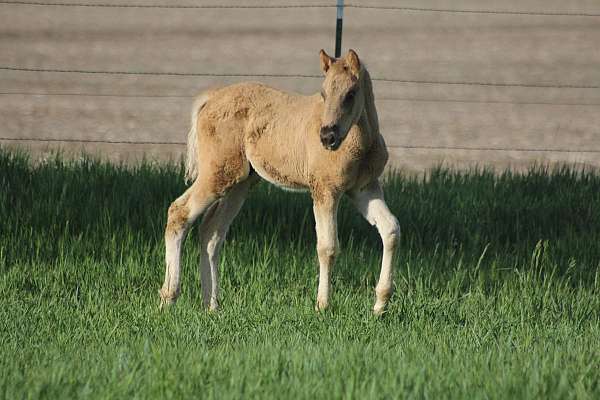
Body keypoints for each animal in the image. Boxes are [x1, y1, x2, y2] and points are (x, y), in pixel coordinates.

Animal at [159, 48, 400, 314]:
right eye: (324, 93)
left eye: (351, 94)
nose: (327, 137)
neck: (361, 143)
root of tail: (211, 98)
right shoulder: (325, 190)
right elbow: (327, 246)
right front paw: (323, 306)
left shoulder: (363, 188)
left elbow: (391, 229)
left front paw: (380, 305)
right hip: (217, 174)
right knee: (179, 211)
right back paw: (169, 298)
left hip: (240, 183)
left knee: (211, 231)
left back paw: (211, 305)